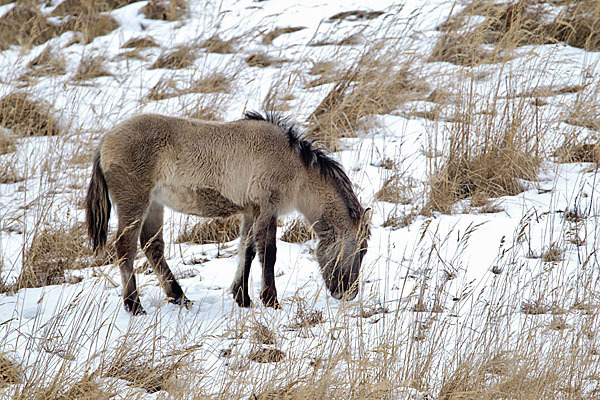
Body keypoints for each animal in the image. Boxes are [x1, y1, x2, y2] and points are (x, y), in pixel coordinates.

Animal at [85, 111, 370, 314]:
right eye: (361, 249)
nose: (348, 293)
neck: (294, 166)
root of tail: (104, 141)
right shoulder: (268, 208)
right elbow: (268, 253)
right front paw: (271, 300)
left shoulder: (251, 212)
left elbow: (247, 250)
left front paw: (242, 297)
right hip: (134, 202)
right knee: (126, 247)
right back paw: (134, 305)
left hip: (154, 204)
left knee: (152, 247)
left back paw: (180, 297)